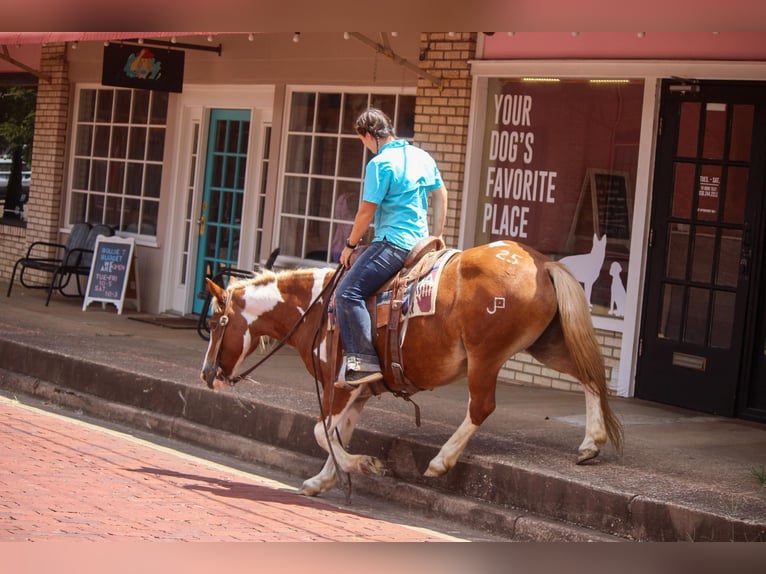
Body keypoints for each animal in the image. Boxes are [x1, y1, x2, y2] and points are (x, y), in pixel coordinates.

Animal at [201, 241, 628, 498]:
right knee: (591, 377)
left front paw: (364, 464)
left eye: (219, 322)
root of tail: (541, 262)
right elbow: (337, 435)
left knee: (481, 407)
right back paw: (590, 442)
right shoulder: (357, 393)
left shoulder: (338, 386)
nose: (207, 375)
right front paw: (324, 479)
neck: (317, 307)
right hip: (547, 343)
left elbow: (322, 434)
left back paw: (442, 460)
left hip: (485, 356)